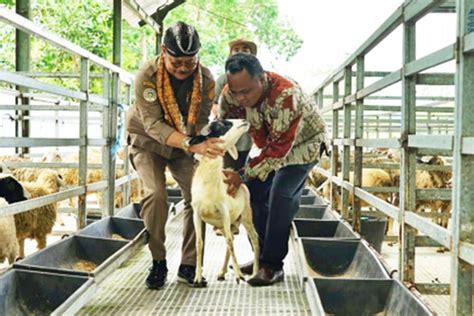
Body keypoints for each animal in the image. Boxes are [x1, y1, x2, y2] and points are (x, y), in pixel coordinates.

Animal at [192, 119, 262, 286]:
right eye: (222, 123)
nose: (244, 120)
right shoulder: (196, 213)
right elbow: (199, 243)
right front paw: (197, 278)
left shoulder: (223, 211)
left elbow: (230, 243)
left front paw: (239, 275)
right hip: (224, 225)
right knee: (230, 241)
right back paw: (222, 272)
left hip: (245, 216)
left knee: (254, 239)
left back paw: (254, 272)